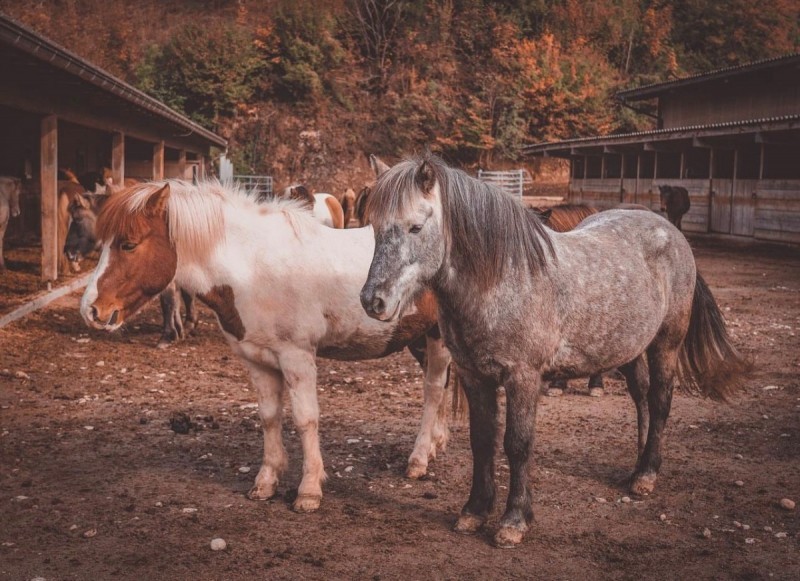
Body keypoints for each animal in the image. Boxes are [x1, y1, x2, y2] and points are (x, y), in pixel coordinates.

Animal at [360, 154, 752, 548]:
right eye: (374, 226)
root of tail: (669, 229)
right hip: (626, 347)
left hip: (665, 345)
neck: (501, 280)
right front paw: (474, 511)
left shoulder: (523, 378)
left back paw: (647, 474)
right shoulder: (474, 376)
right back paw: (637, 465)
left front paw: (514, 521)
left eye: (415, 227)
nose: (373, 300)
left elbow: (517, 444)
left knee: (659, 402)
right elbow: (482, 441)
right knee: (641, 396)